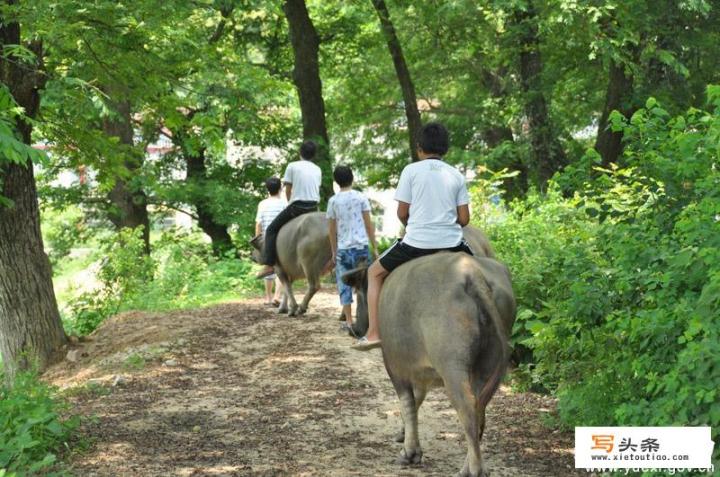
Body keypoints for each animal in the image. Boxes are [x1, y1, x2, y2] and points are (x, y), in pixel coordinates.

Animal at [342, 249, 512, 476]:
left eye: (359, 293)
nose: (355, 329)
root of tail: (472, 273)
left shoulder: (395, 365)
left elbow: (407, 401)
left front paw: (410, 452)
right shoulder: (420, 372)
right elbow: (417, 400)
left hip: (452, 366)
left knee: (467, 406)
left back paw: (474, 470)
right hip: (484, 366)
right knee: (479, 406)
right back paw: (468, 465)